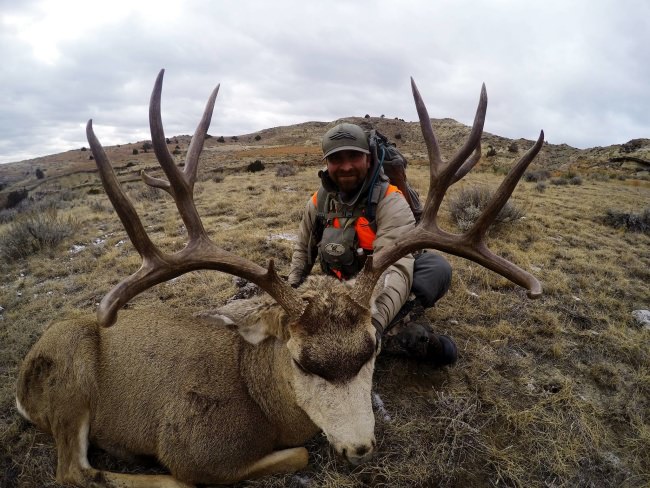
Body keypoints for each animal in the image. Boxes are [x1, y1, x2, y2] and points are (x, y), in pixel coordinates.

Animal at [16, 69, 544, 487]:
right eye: (299, 360)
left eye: (371, 349)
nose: (359, 448)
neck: (261, 400)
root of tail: (21, 385)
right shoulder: (193, 450)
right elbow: (298, 453)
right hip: (71, 374)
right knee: (74, 471)